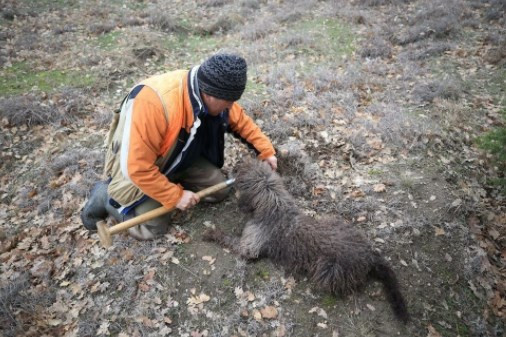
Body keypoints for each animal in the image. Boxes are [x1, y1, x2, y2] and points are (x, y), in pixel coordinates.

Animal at [204, 159, 410, 322]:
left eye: (239, 172)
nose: (231, 168)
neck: (273, 206)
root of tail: (369, 255)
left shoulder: (249, 247)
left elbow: (230, 240)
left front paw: (211, 232)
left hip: (328, 269)